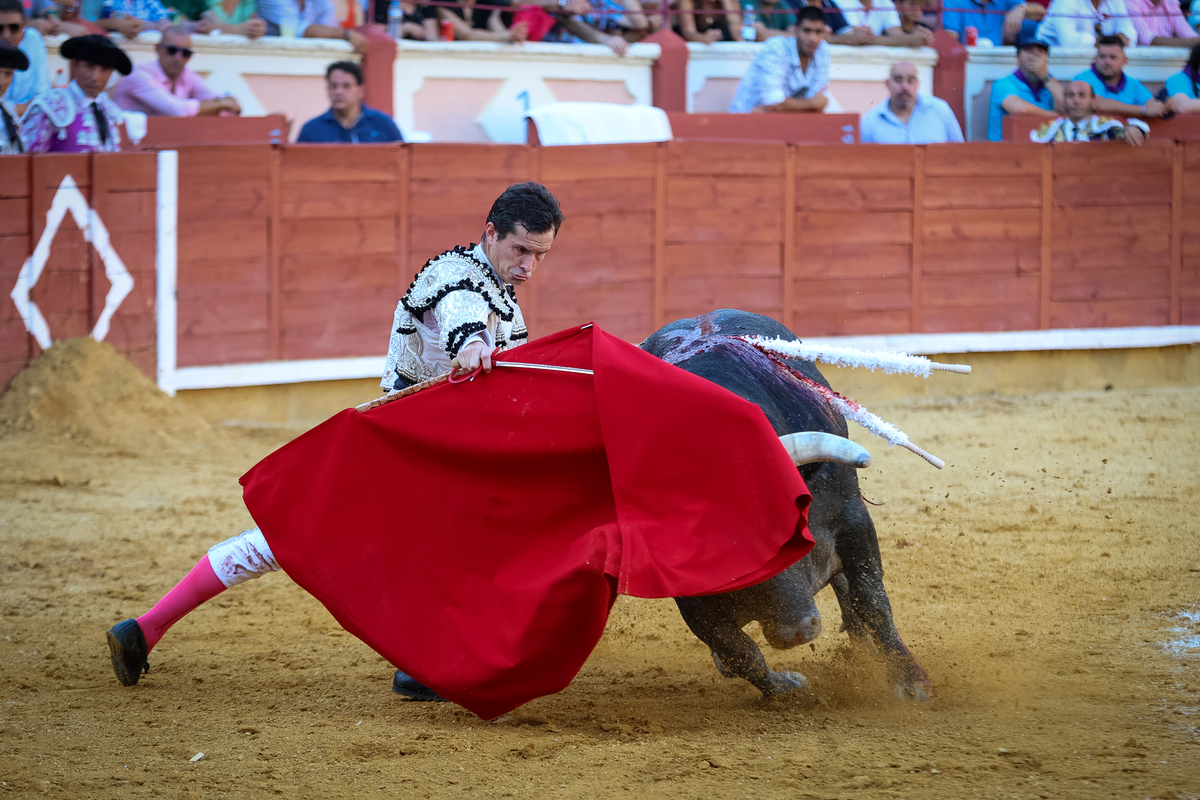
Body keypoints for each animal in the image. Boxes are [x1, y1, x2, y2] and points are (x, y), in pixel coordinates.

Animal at [643, 309, 931, 705]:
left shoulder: (853, 521)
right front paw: (785, 687)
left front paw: (911, 681)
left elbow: (872, 600)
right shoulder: (690, 594)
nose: (794, 631)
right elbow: (737, 649)